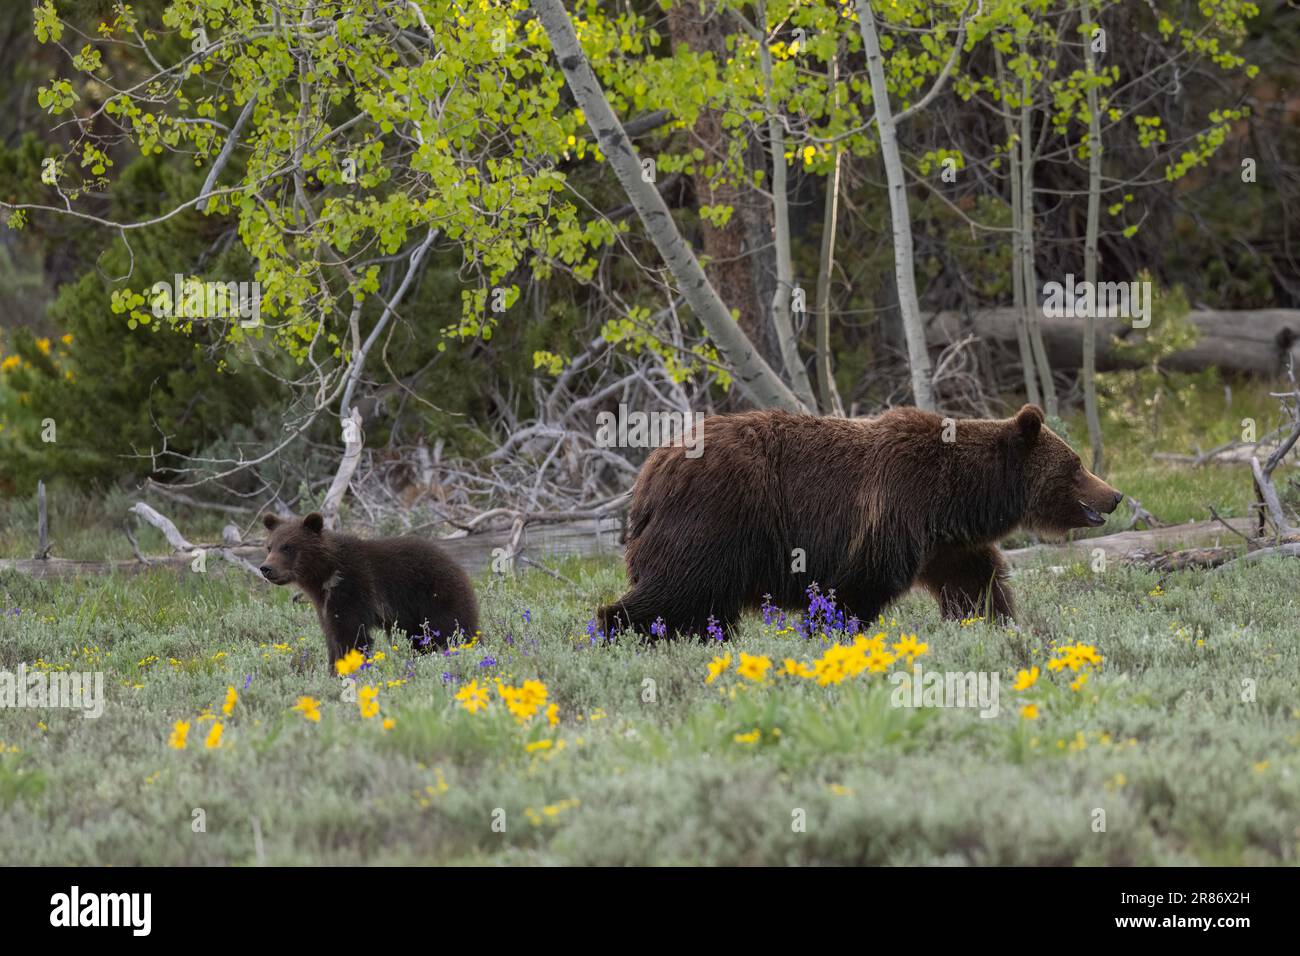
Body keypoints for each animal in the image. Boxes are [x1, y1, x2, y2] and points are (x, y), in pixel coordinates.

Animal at [258, 512, 478, 671]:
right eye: (269, 546)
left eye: (287, 547)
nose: (265, 568)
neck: (325, 575)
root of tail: (455, 564)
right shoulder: (324, 602)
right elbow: (332, 635)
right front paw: (332, 670)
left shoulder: (353, 588)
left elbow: (351, 634)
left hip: (436, 595)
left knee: (453, 627)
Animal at [595, 403, 1118, 634]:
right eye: (1075, 466)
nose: (1114, 495)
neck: (957, 496)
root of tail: (650, 472)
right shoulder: (895, 509)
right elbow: (857, 588)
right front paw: (830, 629)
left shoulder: (946, 543)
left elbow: (975, 582)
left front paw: (994, 621)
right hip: (717, 517)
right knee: (676, 589)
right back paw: (616, 629)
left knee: (702, 602)